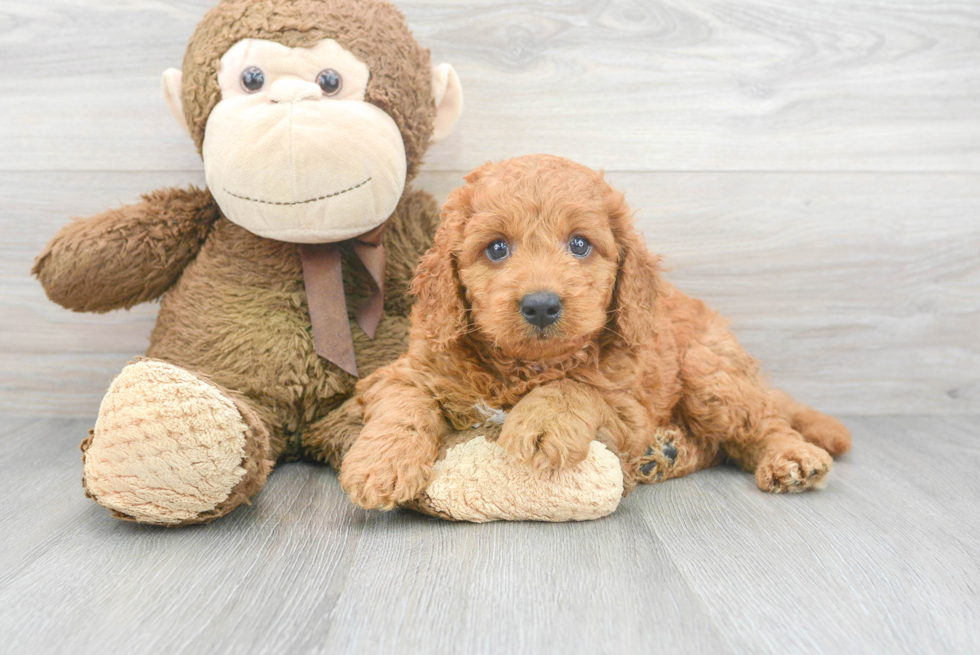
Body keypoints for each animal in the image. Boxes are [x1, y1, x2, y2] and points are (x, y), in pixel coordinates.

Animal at [338, 155, 848, 512]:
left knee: (760, 424)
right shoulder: (406, 371)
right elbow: (403, 407)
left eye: (580, 244)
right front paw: (380, 465)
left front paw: (541, 420)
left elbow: (576, 387)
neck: (523, 367)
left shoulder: (628, 403)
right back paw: (664, 454)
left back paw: (791, 457)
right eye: (497, 248)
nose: (541, 305)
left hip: (709, 371)